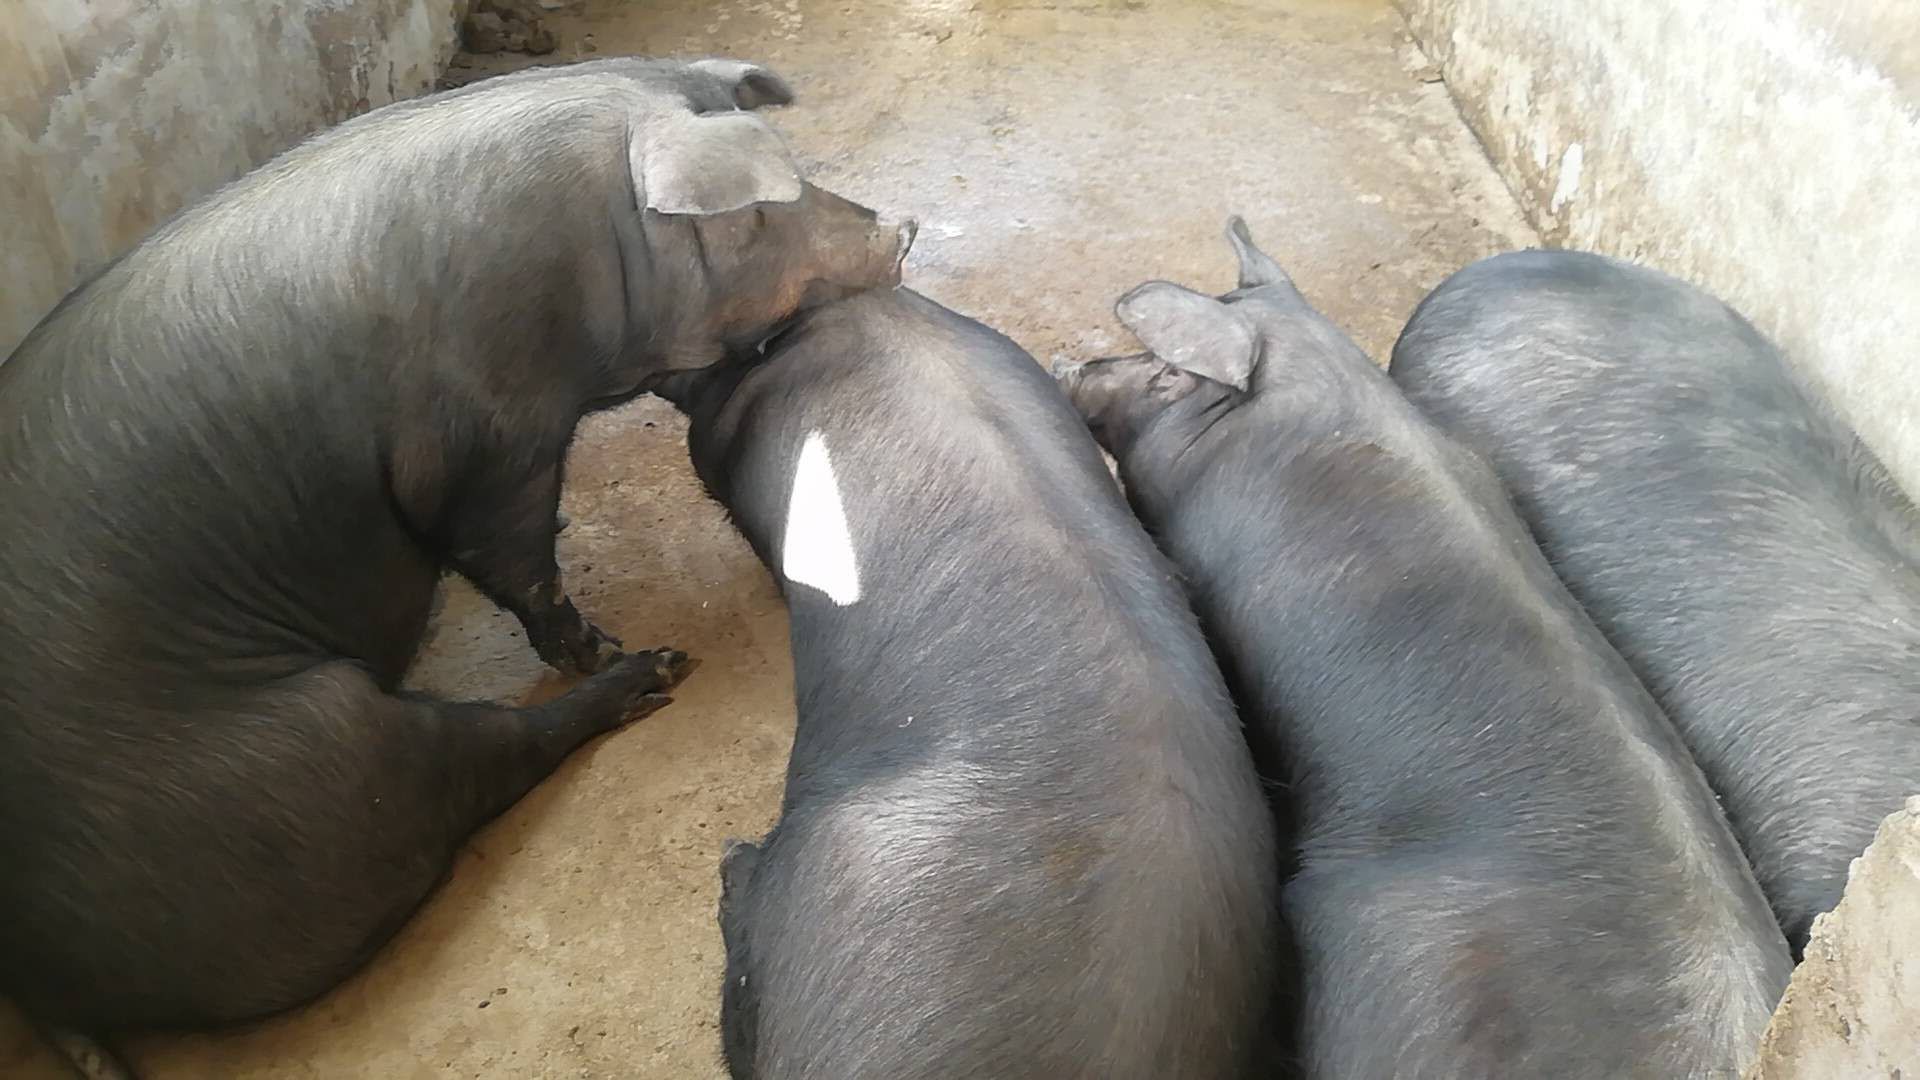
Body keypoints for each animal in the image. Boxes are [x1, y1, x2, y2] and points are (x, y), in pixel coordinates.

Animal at [0, 56, 913, 1068]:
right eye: (752, 214)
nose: (902, 229)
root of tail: (46, 974)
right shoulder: (486, 446)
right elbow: (516, 556)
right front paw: (592, 643)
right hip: (315, 755)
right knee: (481, 759)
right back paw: (653, 671)